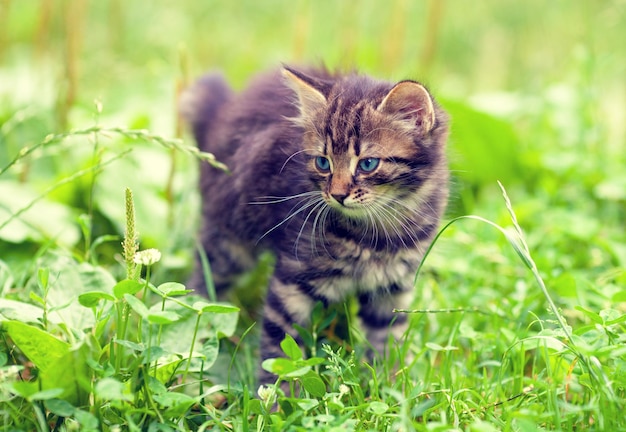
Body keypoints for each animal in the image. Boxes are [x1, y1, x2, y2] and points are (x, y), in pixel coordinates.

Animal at [182, 66, 448, 384]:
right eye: (323, 163)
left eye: (368, 164)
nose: (337, 194)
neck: (378, 230)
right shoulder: (291, 280)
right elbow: (280, 348)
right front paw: (276, 394)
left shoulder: (392, 289)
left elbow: (388, 342)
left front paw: (391, 385)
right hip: (229, 238)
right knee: (203, 280)